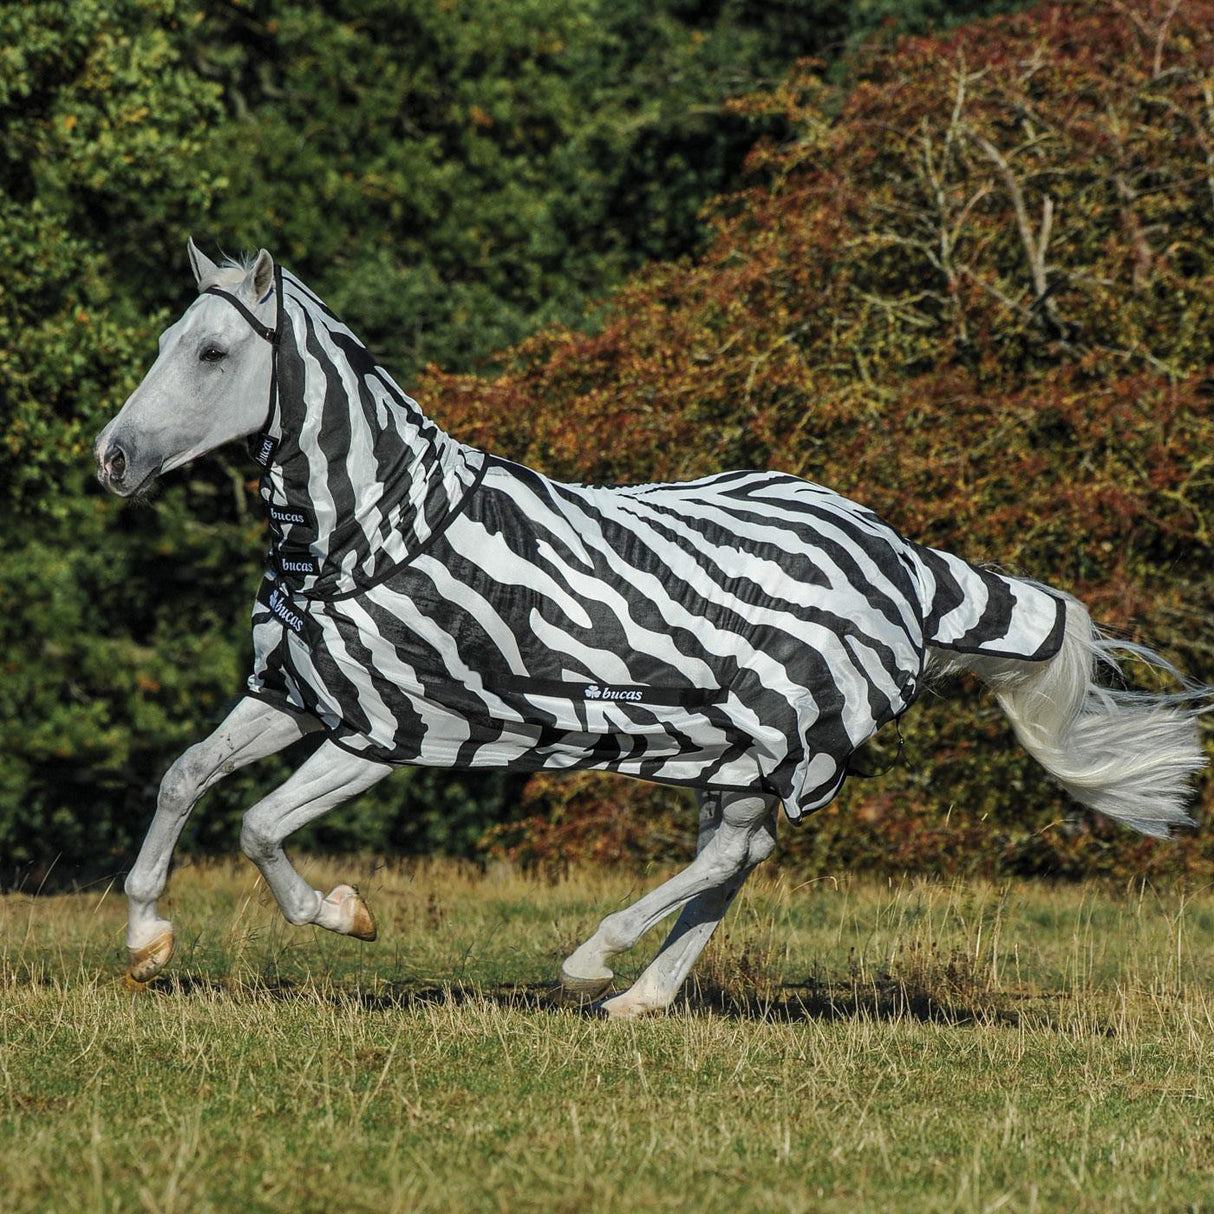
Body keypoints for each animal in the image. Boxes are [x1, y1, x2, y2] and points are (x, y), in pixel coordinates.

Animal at [93, 241, 1208, 1017]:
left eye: (212, 351)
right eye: (162, 343)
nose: (112, 458)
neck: (370, 530)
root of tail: (908, 561)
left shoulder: (392, 727)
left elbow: (257, 823)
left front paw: (343, 914)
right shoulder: (293, 694)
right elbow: (186, 779)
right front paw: (147, 938)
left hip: (777, 735)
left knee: (730, 856)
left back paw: (594, 961)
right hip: (734, 749)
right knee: (740, 858)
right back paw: (641, 996)